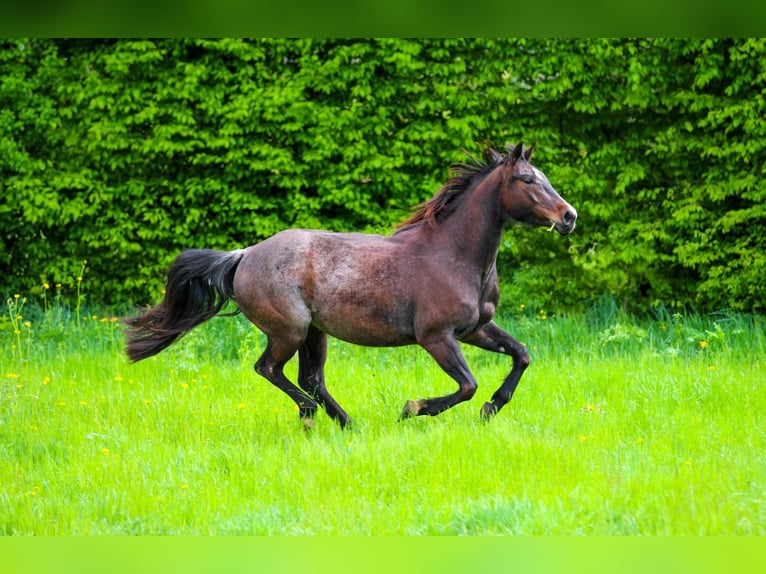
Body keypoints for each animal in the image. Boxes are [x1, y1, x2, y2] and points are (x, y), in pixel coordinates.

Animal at [123, 142, 577, 428]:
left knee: (310, 379)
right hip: (289, 331)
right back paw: (316, 415)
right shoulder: (436, 336)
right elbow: (467, 385)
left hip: (314, 333)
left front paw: (491, 409)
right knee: (270, 369)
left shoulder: (476, 329)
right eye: (527, 180)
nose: (569, 216)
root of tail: (244, 255)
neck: (455, 255)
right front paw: (412, 409)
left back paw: (343, 423)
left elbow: (521, 355)